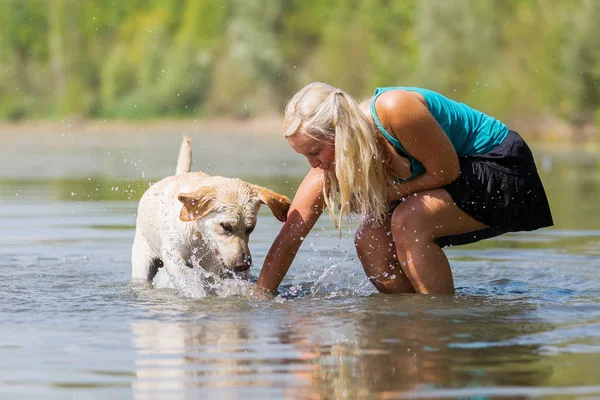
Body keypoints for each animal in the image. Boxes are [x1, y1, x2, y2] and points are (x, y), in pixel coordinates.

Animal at [132, 138, 290, 284]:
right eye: (226, 227)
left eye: (251, 228)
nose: (243, 265)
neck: (201, 238)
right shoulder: (172, 253)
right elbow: (183, 273)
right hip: (142, 263)